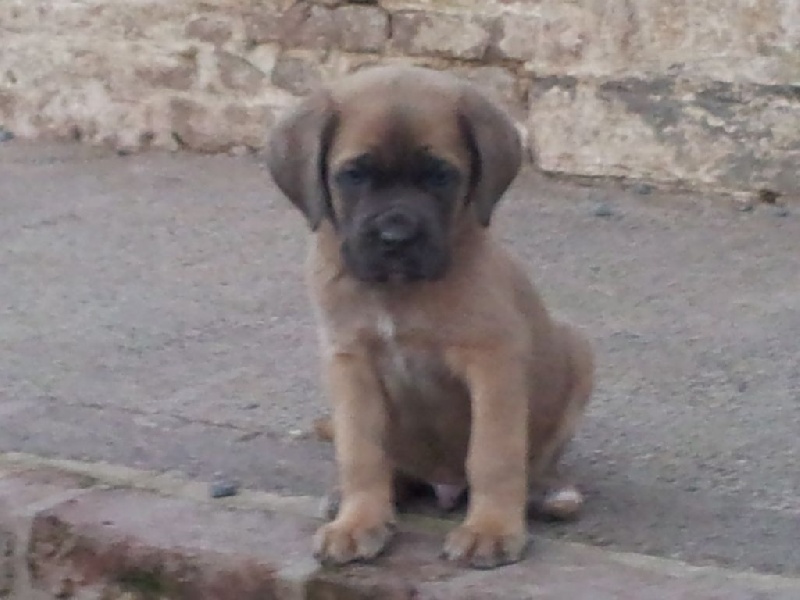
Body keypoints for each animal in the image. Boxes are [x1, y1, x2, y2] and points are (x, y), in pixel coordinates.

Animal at [265, 65, 594, 569]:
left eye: (440, 175)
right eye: (354, 174)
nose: (395, 238)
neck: (399, 294)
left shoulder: (492, 362)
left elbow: (493, 454)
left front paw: (490, 529)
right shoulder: (350, 362)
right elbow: (361, 451)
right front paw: (359, 520)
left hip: (578, 348)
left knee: (535, 461)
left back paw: (547, 494)